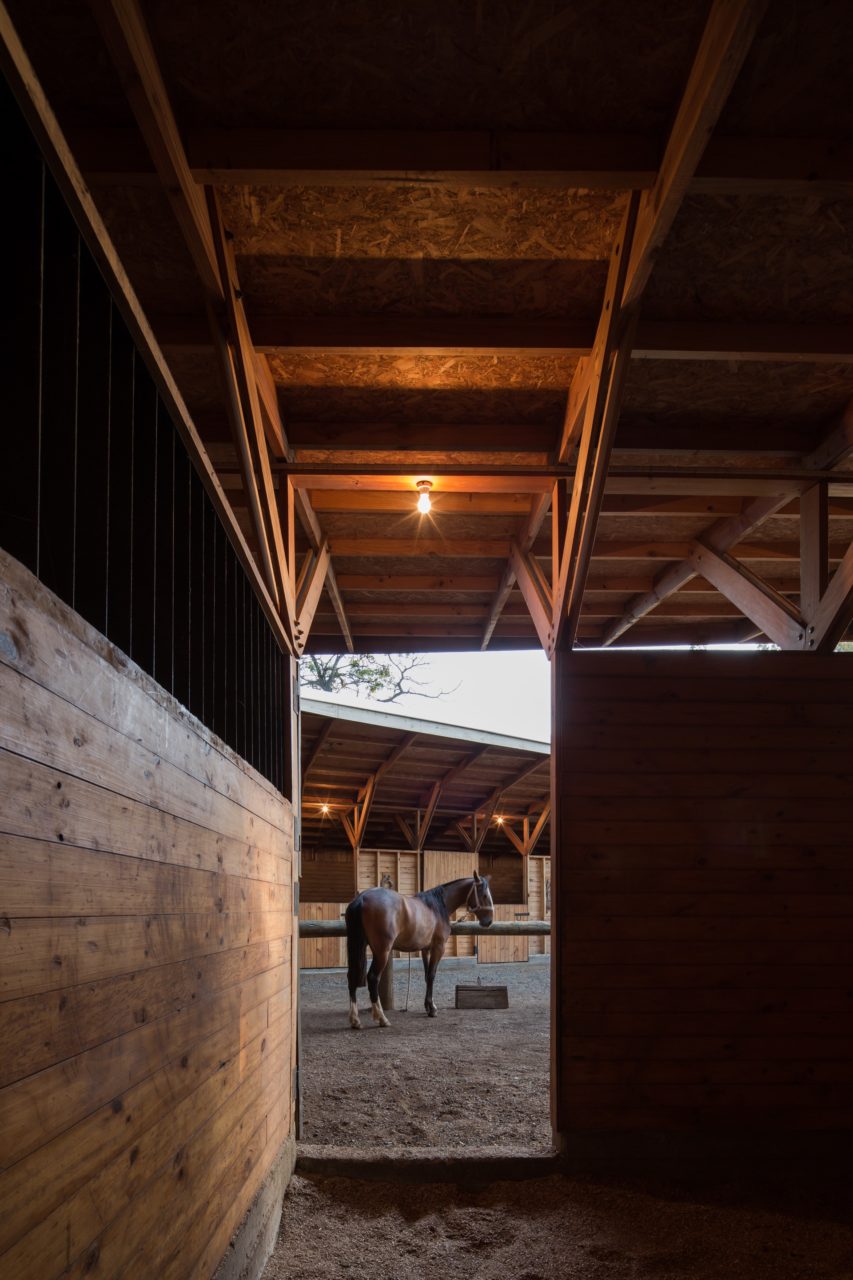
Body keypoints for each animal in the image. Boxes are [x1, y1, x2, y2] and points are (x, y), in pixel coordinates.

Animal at [343, 870, 491, 1029]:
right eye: (484, 895)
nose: (489, 921)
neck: (437, 906)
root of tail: (362, 898)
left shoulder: (425, 949)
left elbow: (426, 976)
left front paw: (428, 1006)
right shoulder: (438, 948)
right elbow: (432, 975)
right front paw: (432, 1010)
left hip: (359, 945)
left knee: (351, 977)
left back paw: (355, 1020)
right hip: (382, 952)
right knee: (372, 978)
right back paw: (382, 1018)